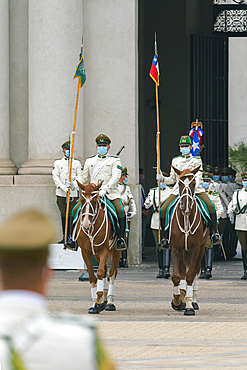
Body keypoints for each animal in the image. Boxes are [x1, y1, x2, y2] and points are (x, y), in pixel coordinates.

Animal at [75, 181, 122, 314]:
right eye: (81, 200)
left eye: (95, 200)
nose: (85, 225)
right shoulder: (86, 252)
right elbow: (92, 276)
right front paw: (95, 303)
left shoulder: (104, 250)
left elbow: (100, 272)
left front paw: (99, 299)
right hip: (96, 254)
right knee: (106, 270)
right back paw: (105, 300)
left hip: (116, 251)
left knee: (112, 273)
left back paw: (109, 301)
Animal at [170, 167, 208, 316]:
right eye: (179, 184)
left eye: (193, 183)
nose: (185, 208)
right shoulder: (175, 248)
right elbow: (176, 276)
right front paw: (177, 301)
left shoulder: (195, 249)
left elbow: (190, 276)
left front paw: (189, 305)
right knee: (181, 272)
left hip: (201, 249)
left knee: (196, 270)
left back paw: (193, 300)